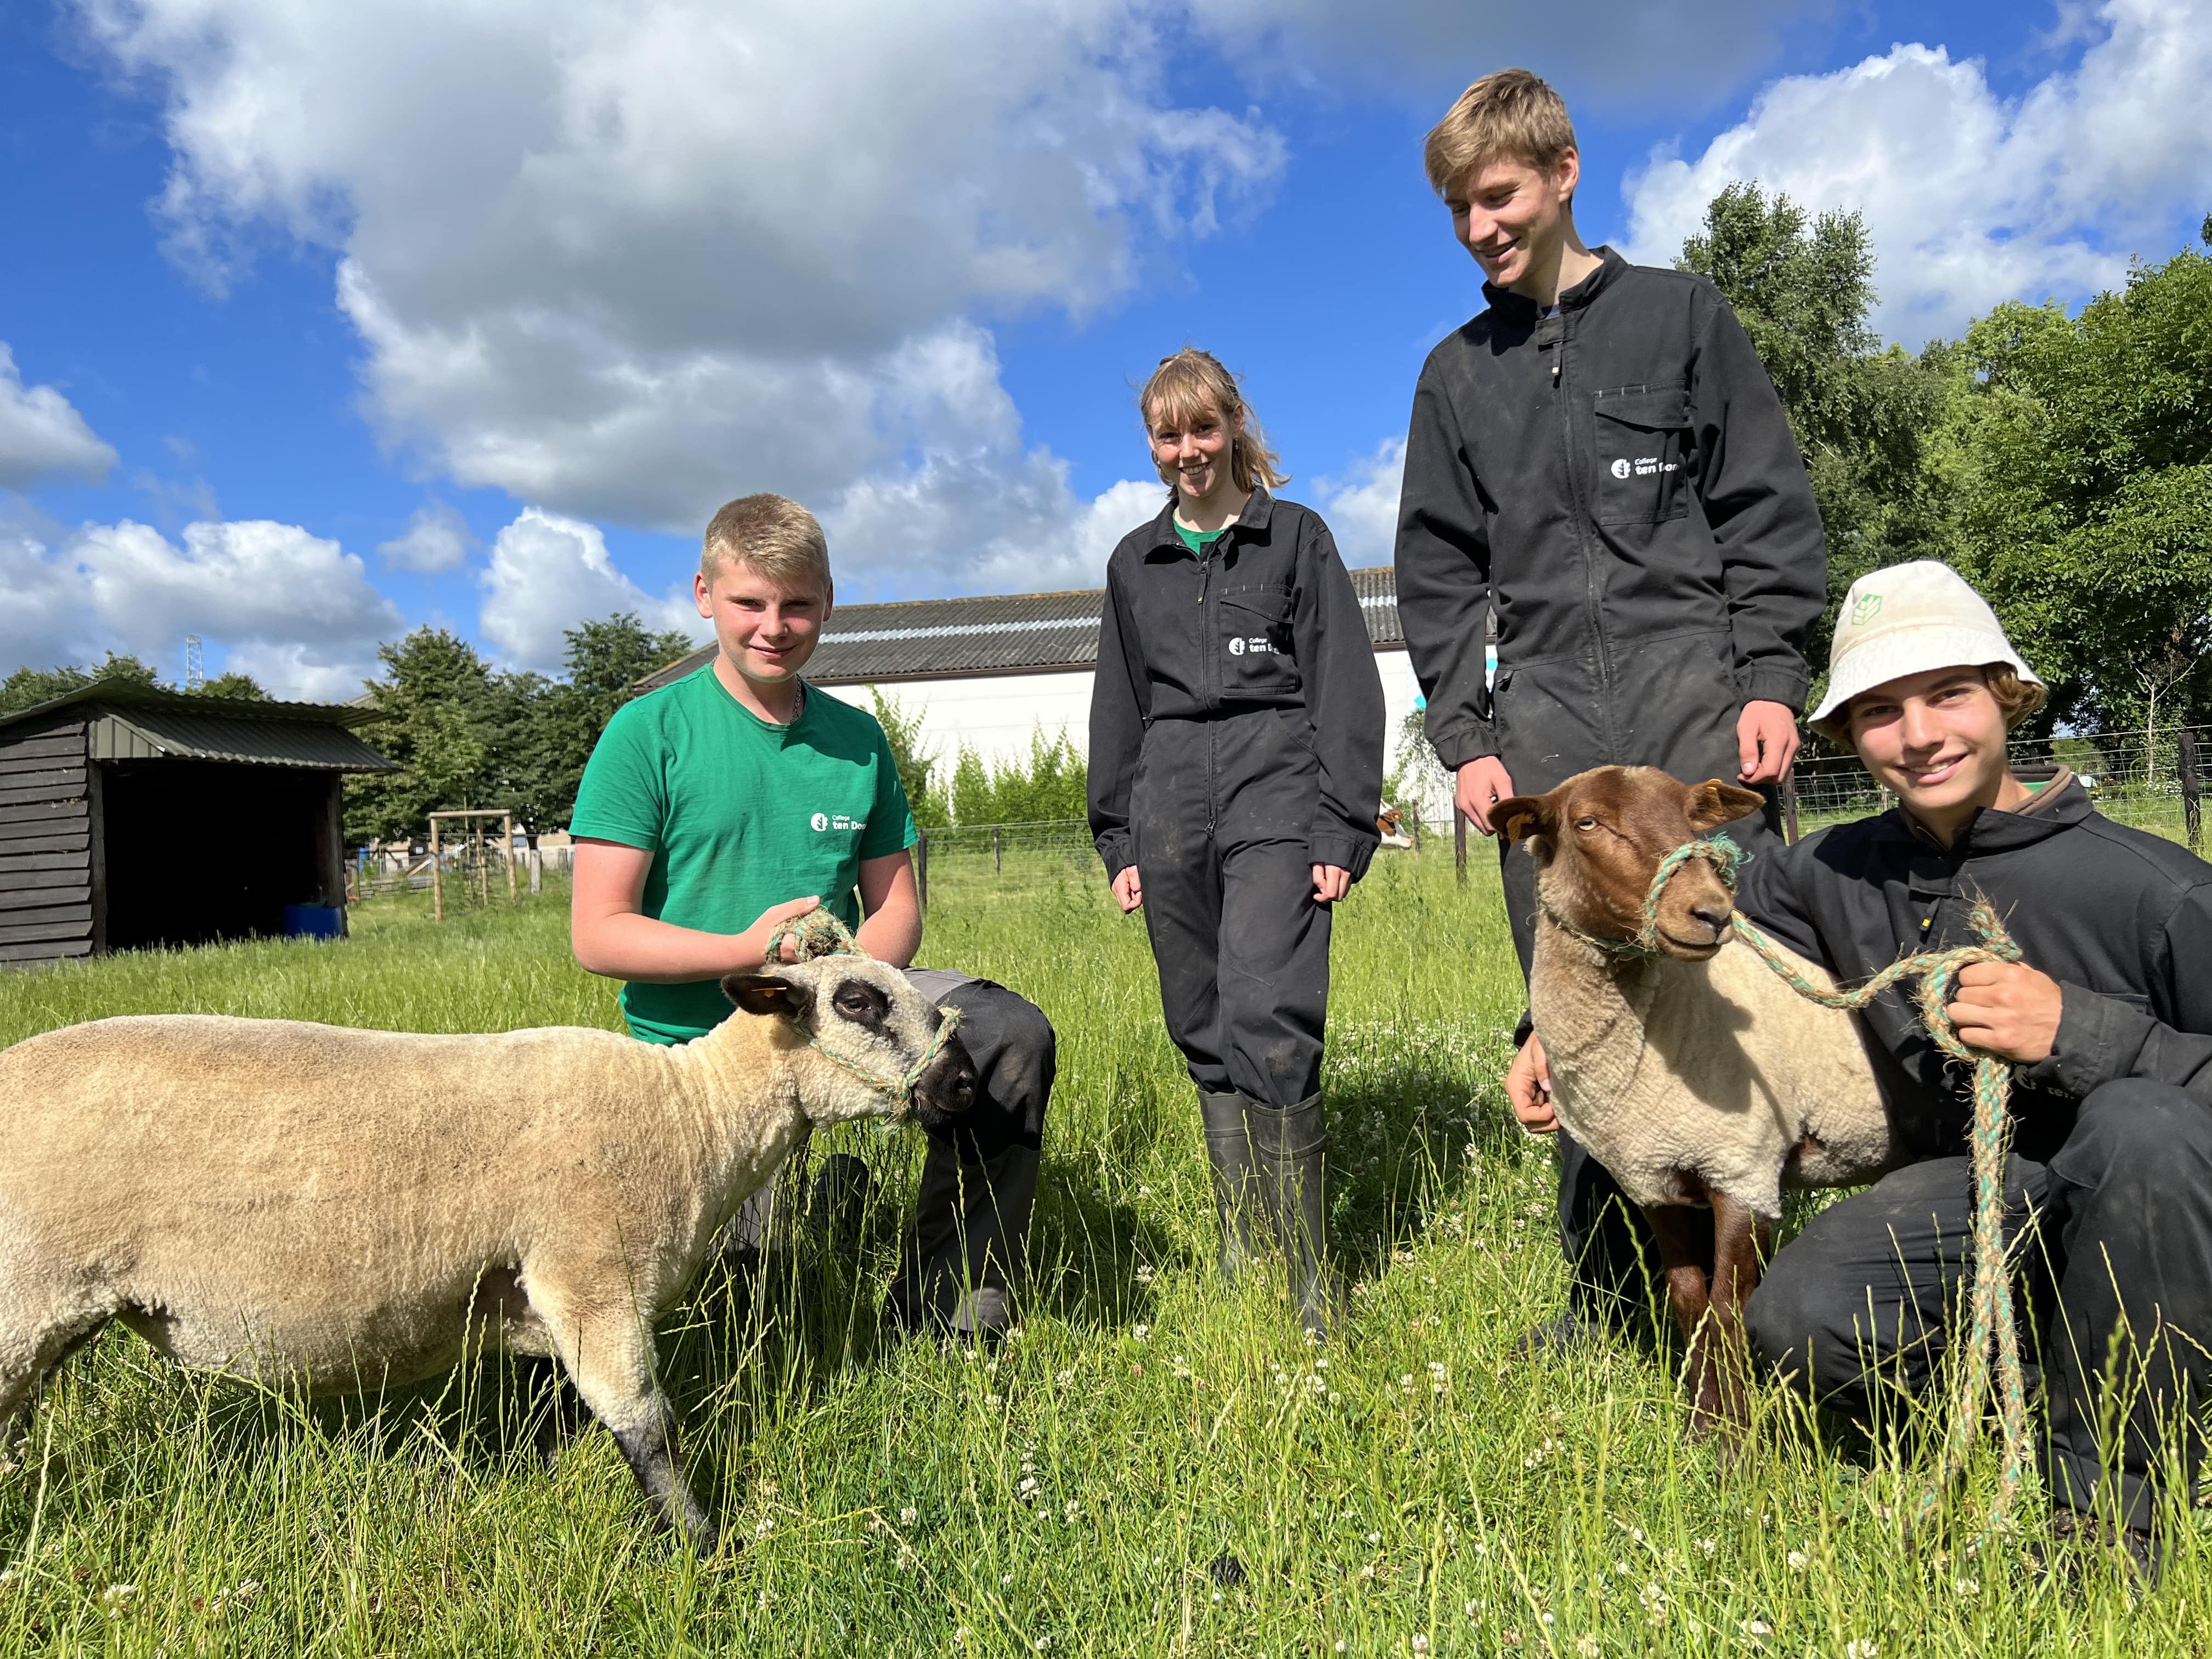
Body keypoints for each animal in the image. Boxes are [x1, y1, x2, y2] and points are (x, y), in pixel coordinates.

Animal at [0, 955, 978, 1557]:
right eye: (857, 1000)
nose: (963, 1081)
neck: (691, 1115)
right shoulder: (591, 1273)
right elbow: (648, 1429)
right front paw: (707, 1549)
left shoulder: (544, 1296)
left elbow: (564, 1415)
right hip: (25, 1295)